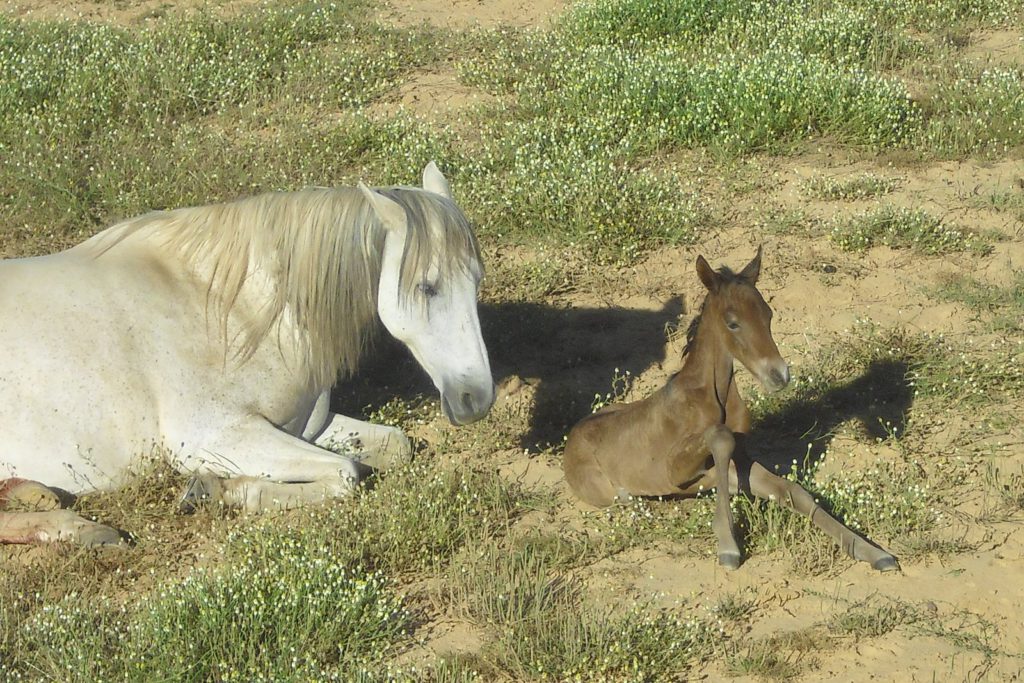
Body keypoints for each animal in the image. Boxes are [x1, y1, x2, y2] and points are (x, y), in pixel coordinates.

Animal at [0, 162, 495, 548]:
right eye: (427, 286)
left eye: (476, 279)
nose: (477, 399)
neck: (230, 308)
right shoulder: (215, 438)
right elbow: (345, 474)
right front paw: (222, 490)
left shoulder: (306, 427)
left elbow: (394, 446)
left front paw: (211, 488)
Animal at [565, 249, 901, 573]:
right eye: (732, 322)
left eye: (769, 315)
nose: (778, 375)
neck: (714, 397)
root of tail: (570, 439)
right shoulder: (675, 470)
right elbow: (720, 440)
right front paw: (728, 545)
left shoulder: (742, 458)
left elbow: (791, 490)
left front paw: (873, 552)